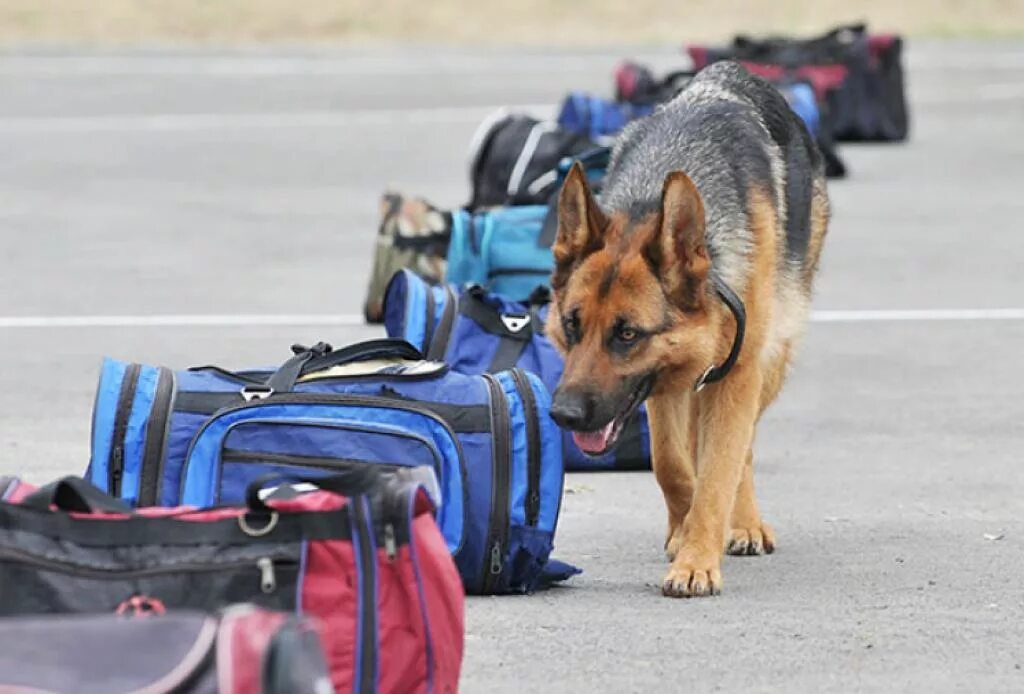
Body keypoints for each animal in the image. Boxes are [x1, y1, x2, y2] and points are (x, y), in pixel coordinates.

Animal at [548, 61, 827, 597]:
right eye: (572, 324)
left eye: (627, 334)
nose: (563, 415)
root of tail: (734, 69)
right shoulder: (661, 385)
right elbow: (671, 465)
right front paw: (684, 533)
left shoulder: (735, 377)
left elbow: (720, 470)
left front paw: (698, 560)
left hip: (770, 362)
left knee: (744, 447)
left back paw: (744, 523)